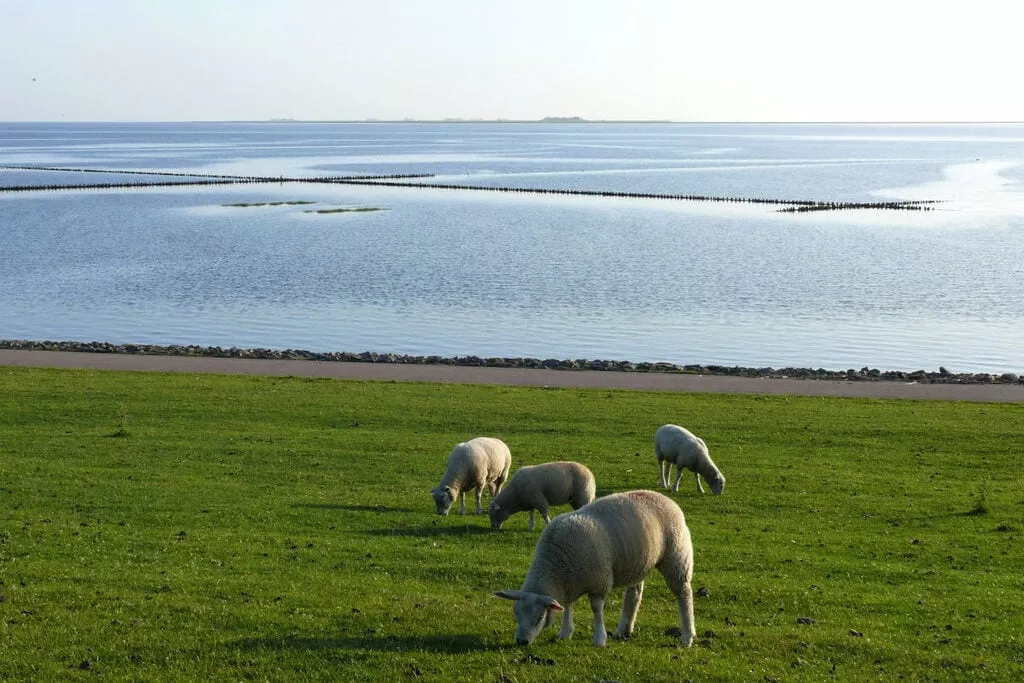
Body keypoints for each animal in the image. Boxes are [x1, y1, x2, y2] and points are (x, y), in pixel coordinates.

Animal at [493, 491, 696, 647]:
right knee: (634, 594)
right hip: (638, 562)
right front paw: (565, 632)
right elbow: (567, 605)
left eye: (540, 617)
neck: (555, 565)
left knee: (683, 593)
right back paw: (623, 630)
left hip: (676, 555)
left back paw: (687, 637)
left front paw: (599, 638)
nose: (521, 642)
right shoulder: (570, 580)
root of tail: (664, 498)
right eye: (516, 613)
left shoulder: (599, 580)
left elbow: (596, 609)